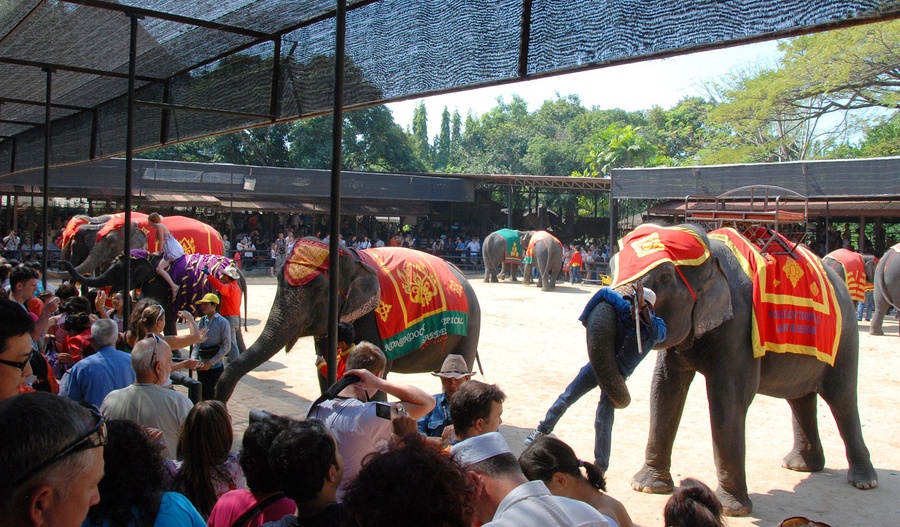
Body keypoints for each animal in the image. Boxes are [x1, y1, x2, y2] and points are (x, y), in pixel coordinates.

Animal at [62, 253, 246, 338]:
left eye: (117, 271)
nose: (61, 261)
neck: (148, 257)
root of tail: (238, 272)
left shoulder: (158, 284)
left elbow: (163, 312)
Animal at [212, 239, 482, 404]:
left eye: (318, 290)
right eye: (278, 278)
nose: (218, 400)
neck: (352, 258)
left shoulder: (374, 322)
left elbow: (374, 374)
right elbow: (325, 369)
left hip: (471, 327)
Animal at [584, 225, 880, 516]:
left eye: (665, 277)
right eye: (611, 269)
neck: (709, 253)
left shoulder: (740, 325)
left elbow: (727, 398)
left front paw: (730, 509)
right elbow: (664, 390)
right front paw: (646, 486)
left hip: (845, 336)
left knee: (841, 398)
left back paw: (864, 481)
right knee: (800, 398)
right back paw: (801, 466)